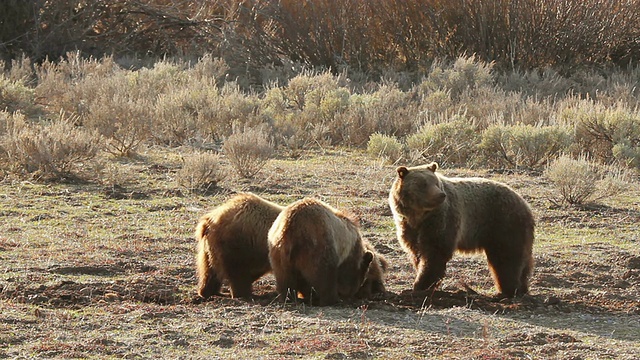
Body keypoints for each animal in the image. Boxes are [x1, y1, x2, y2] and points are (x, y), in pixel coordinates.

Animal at [390, 163, 536, 298]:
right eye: (423, 184)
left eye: (435, 182)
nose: (441, 195)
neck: (419, 216)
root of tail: (525, 204)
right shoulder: (409, 228)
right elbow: (417, 252)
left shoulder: (441, 221)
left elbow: (435, 252)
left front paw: (420, 285)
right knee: (522, 261)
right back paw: (521, 288)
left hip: (504, 224)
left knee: (507, 258)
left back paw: (508, 290)